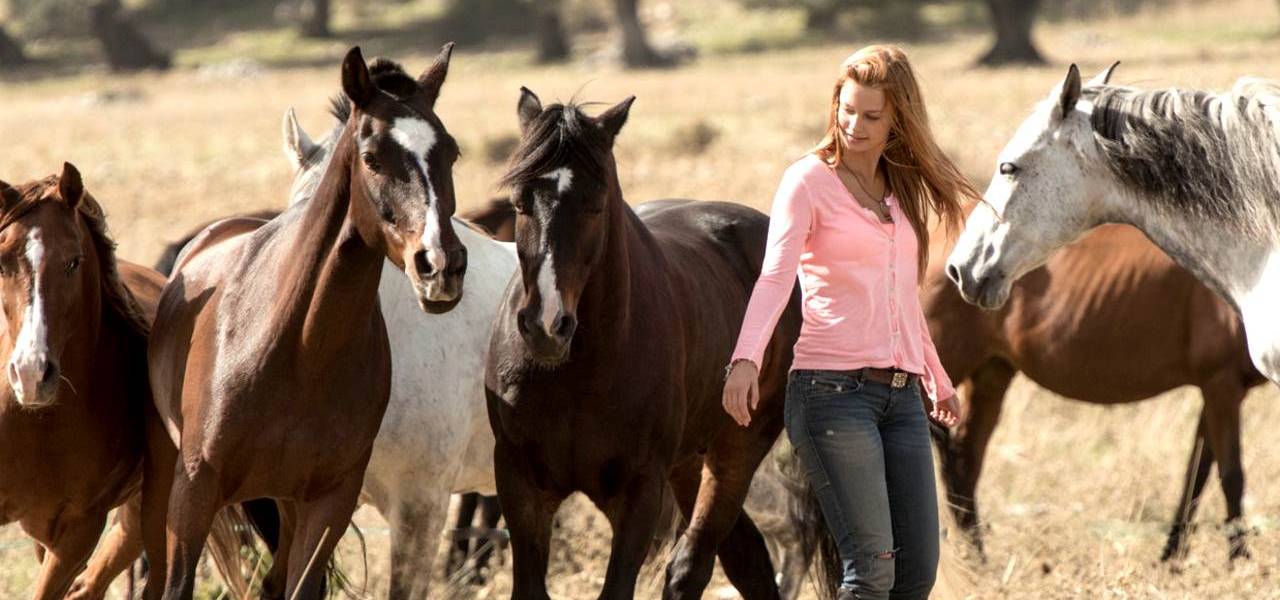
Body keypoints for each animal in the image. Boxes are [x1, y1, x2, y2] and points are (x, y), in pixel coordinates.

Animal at [141, 47, 471, 598]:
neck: (297, 348)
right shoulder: (194, 493)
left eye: (450, 152)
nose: (441, 265)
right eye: (371, 156)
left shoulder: (327, 502)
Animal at [483, 90, 803, 598]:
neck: (579, 373)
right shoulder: (521, 484)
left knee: (694, 563)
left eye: (595, 204)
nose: (546, 325)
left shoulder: (639, 494)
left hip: (737, 447)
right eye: (519, 203)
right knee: (745, 557)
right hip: (689, 460)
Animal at [926, 225, 1264, 560]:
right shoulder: (1221, 384)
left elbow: (1197, 474)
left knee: (965, 459)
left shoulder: (1217, 391)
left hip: (991, 374)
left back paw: (977, 559)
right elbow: (1231, 476)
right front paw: (1238, 560)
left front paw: (1171, 558)